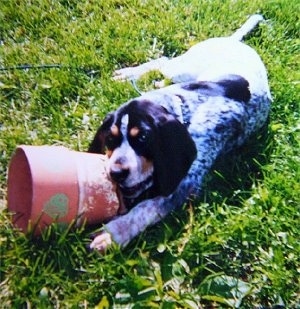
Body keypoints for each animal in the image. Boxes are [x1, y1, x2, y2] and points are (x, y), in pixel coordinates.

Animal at [88, 14, 272, 250]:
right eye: (110, 139)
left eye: (144, 138)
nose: (116, 173)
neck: (185, 109)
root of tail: (234, 42)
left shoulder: (185, 183)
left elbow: (147, 207)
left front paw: (114, 233)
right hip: (182, 70)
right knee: (163, 61)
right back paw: (130, 74)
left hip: (182, 69)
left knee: (164, 60)